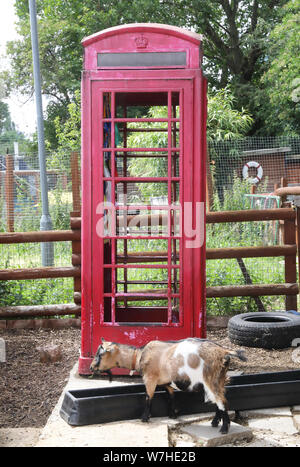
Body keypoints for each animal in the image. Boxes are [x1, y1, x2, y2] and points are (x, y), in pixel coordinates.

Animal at [91, 338, 246, 434]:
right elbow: (171, 396)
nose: (92, 367)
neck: (139, 355)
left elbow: (148, 397)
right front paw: (173, 415)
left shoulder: (150, 379)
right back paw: (214, 422)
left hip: (211, 380)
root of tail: (223, 352)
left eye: (100, 354)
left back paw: (224, 429)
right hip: (219, 380)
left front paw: (144, 418)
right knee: (219, 400)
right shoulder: (168, 383)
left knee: (222, 402)